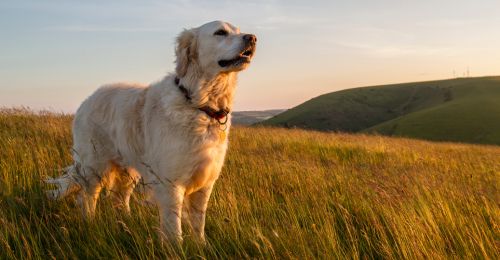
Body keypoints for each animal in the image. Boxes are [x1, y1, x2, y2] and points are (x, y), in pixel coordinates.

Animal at [46, 21, 258, 243]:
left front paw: (201, 246)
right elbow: (174, 229)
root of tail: (86, 100)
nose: (252, 38)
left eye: (238, 31)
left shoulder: (205, 184)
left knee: (119, 198)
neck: (199, 104)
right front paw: (177, 247)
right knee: (87, 197)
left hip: (127, 171)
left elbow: (198, 224)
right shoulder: (170, 184)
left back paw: (126, 224)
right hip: (94, 166)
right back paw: (90, 224)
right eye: (220, 32)